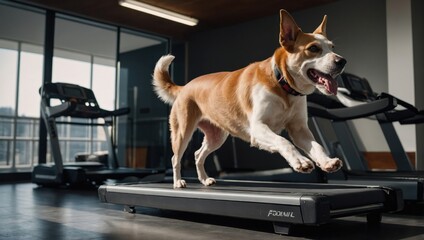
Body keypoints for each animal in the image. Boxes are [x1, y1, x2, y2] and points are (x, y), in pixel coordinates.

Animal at [154, 9, 346, 188]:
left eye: (332, 47)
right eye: (313, 49)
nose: (342, 61)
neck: (282, 84)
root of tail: (185, 87)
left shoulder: (299, 130)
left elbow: (316, 146)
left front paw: (326, 161)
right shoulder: (258, 128)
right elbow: (284, 142)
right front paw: (300, 161)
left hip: (216, 136)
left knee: (198, 154)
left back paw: (204, 179)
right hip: (182, 132)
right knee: (175, 159)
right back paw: (178, 182)